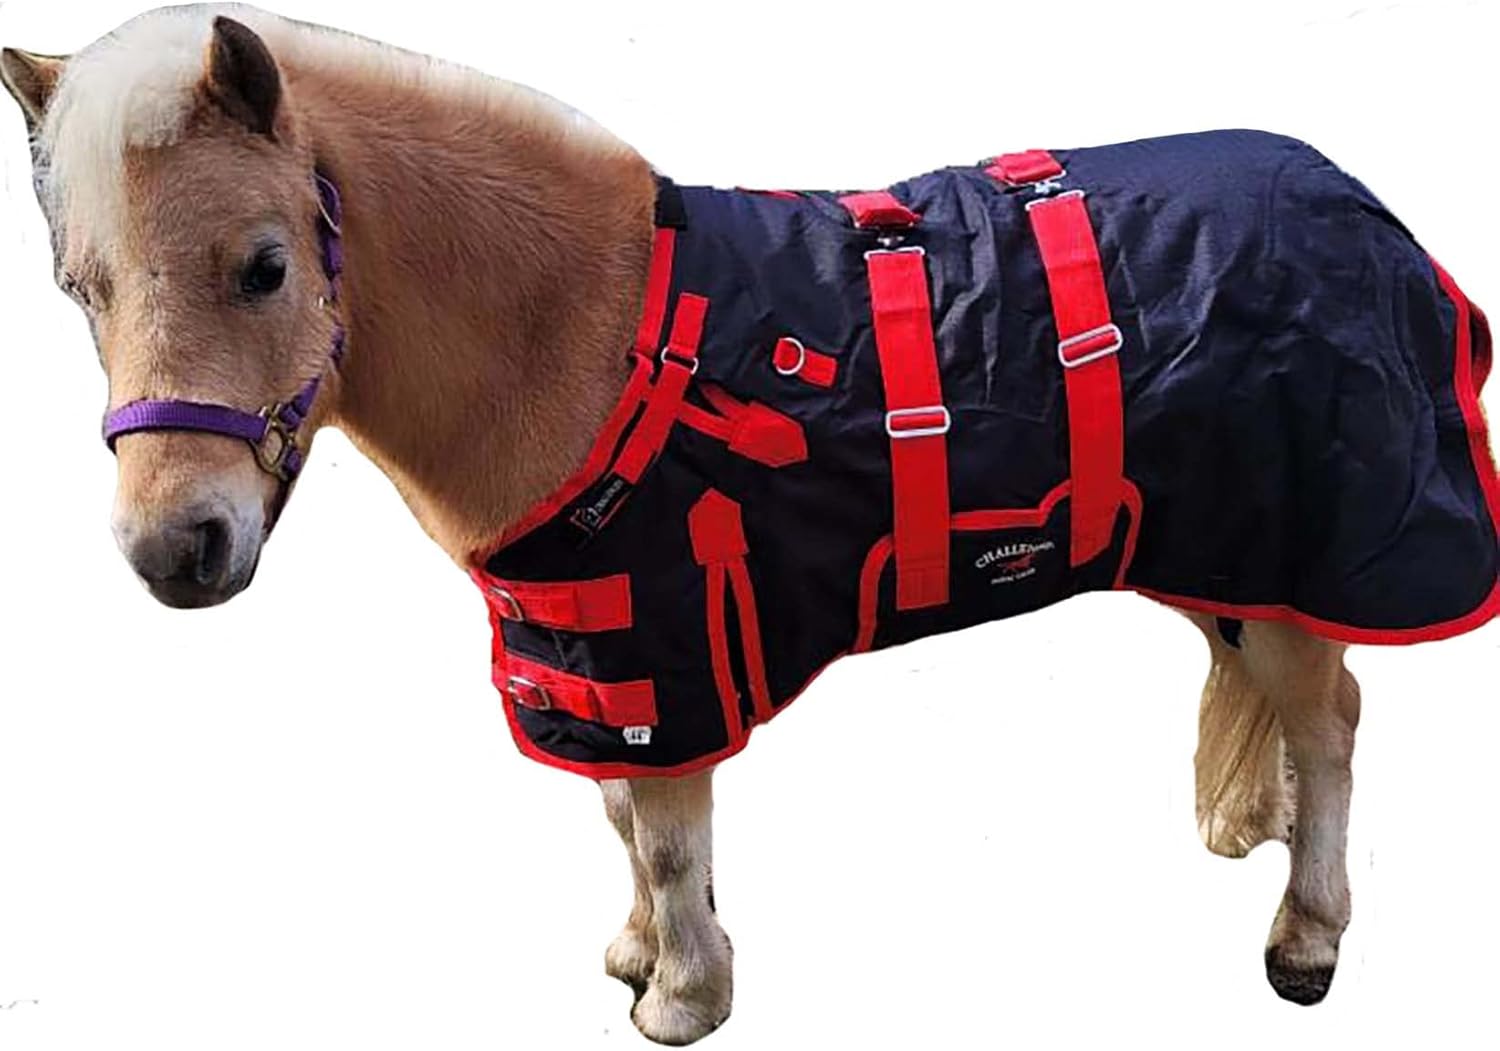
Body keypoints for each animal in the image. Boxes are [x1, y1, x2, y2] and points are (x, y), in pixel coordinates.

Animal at [2, 5, 1495, 1045]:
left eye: (263, 265)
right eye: (79, 287)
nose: (174, 549)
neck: (588, 336)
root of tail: (1368, 210)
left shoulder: (667, 641)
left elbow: (665, 831)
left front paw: (683, 994)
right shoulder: (598, 657)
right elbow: (620, 817)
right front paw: (638, 948)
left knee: (1331, 717)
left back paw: (1307, 937)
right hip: (1222, 547)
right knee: (1281, 689)